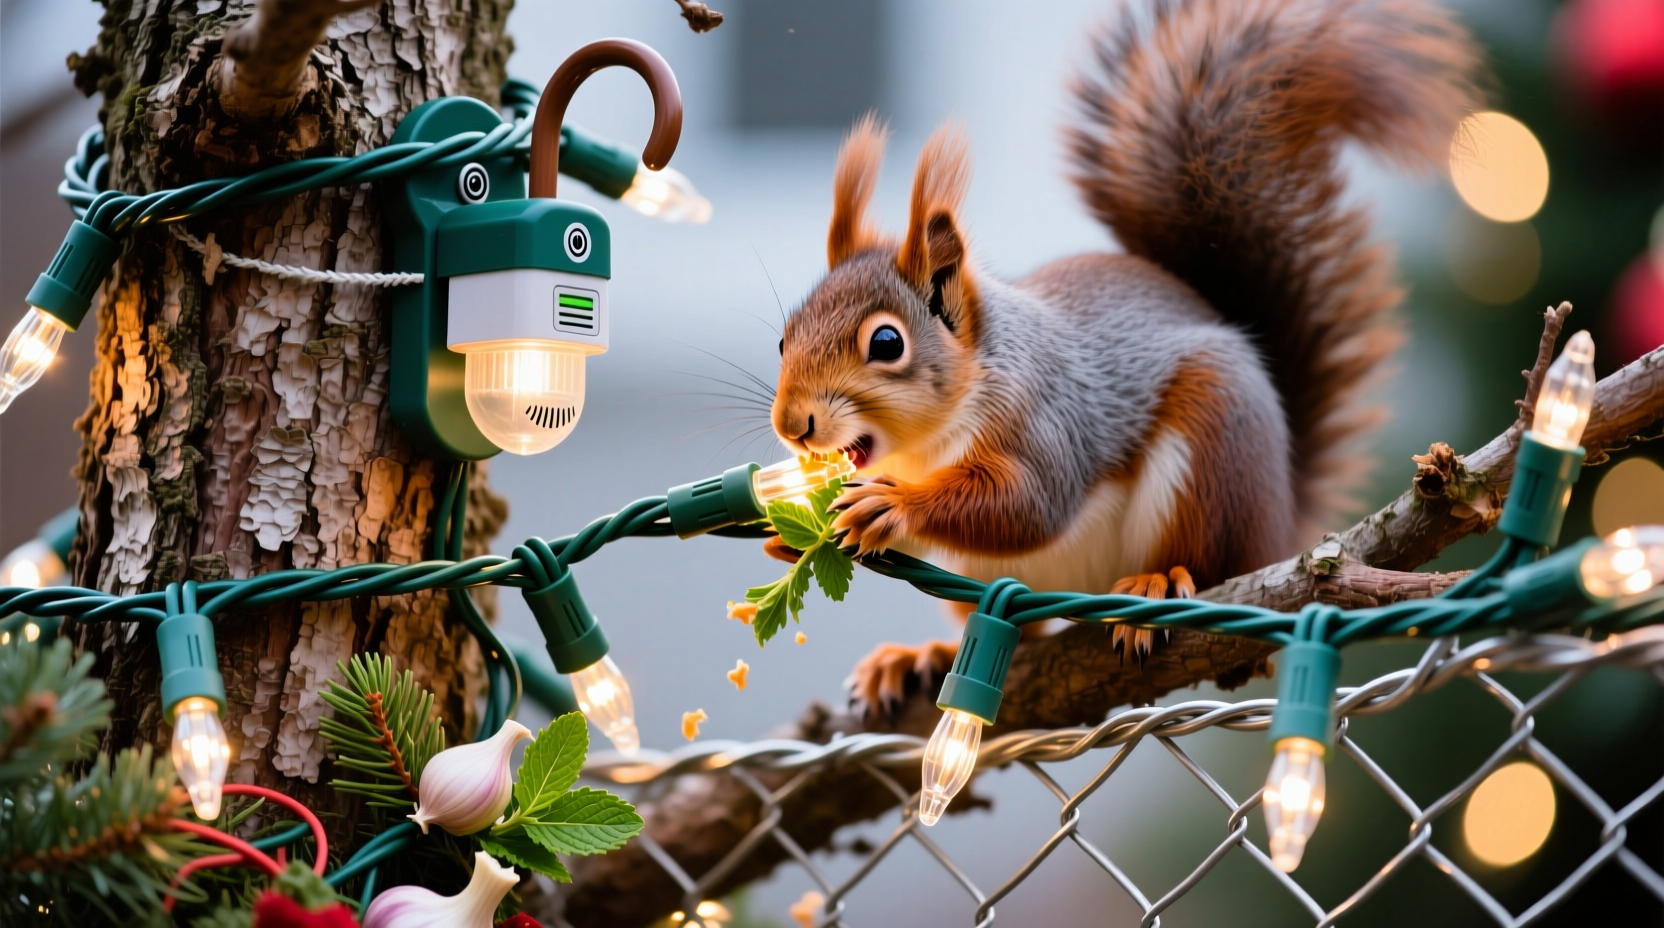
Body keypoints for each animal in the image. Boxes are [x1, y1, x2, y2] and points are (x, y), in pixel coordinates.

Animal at [765, 0, 1481, 712]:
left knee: (1203, 558)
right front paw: (786, 534)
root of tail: (1279, 519)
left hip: (1213, 448)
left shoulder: (1044, 418)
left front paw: (894, 505)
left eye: (886, 343)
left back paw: (1155, 583)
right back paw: (922, 656)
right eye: (783, 336)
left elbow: (1026, 504)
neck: (928, 442)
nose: (792, 425)